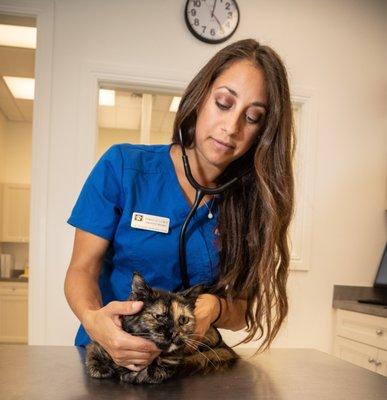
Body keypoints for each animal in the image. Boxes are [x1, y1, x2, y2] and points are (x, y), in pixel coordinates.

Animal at [85, 272, 239, 384]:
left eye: (183, 320)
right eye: (159, 316)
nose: (174, 333)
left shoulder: (171, 362)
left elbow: (157, 371)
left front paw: (137, 374)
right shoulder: (100, 343)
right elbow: (93, 356)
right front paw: (101, 369)